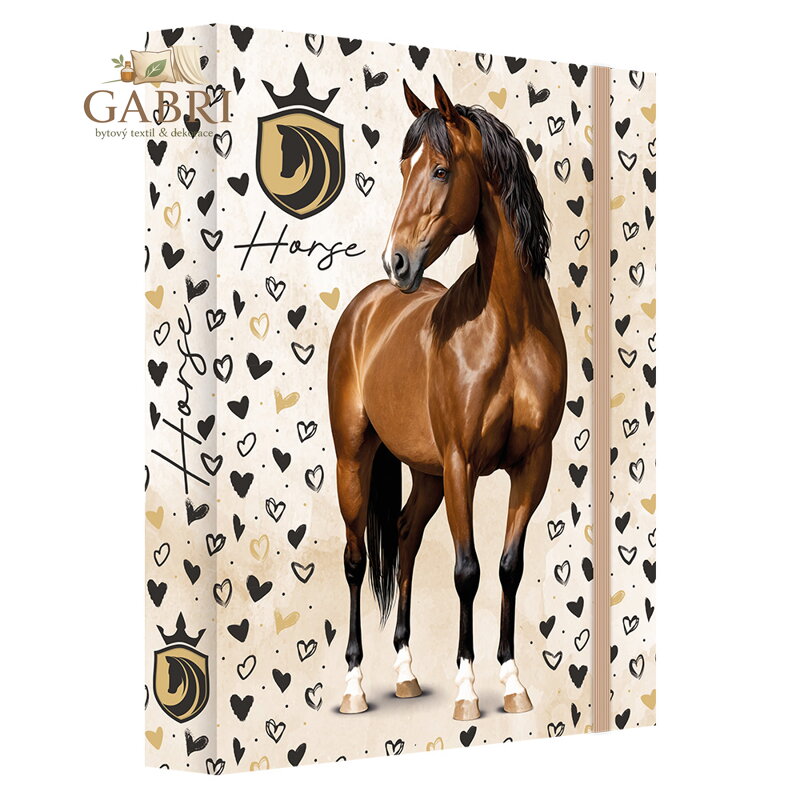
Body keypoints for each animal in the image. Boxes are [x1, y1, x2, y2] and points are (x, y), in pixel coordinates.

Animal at [327, 76, 567, 721]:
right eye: (401, 167)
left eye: (438, 170)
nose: (397, 260)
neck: (510, 327)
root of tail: (367, 306)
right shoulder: (463, 463)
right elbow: (467, 571)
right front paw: (466, 692)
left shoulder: (531, 465)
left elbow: (508, 568)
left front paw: (512, 683)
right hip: (355, 461)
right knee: (357, 560)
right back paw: (355, 687)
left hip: (427, 474)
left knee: (406, 540)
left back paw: (407, 675)